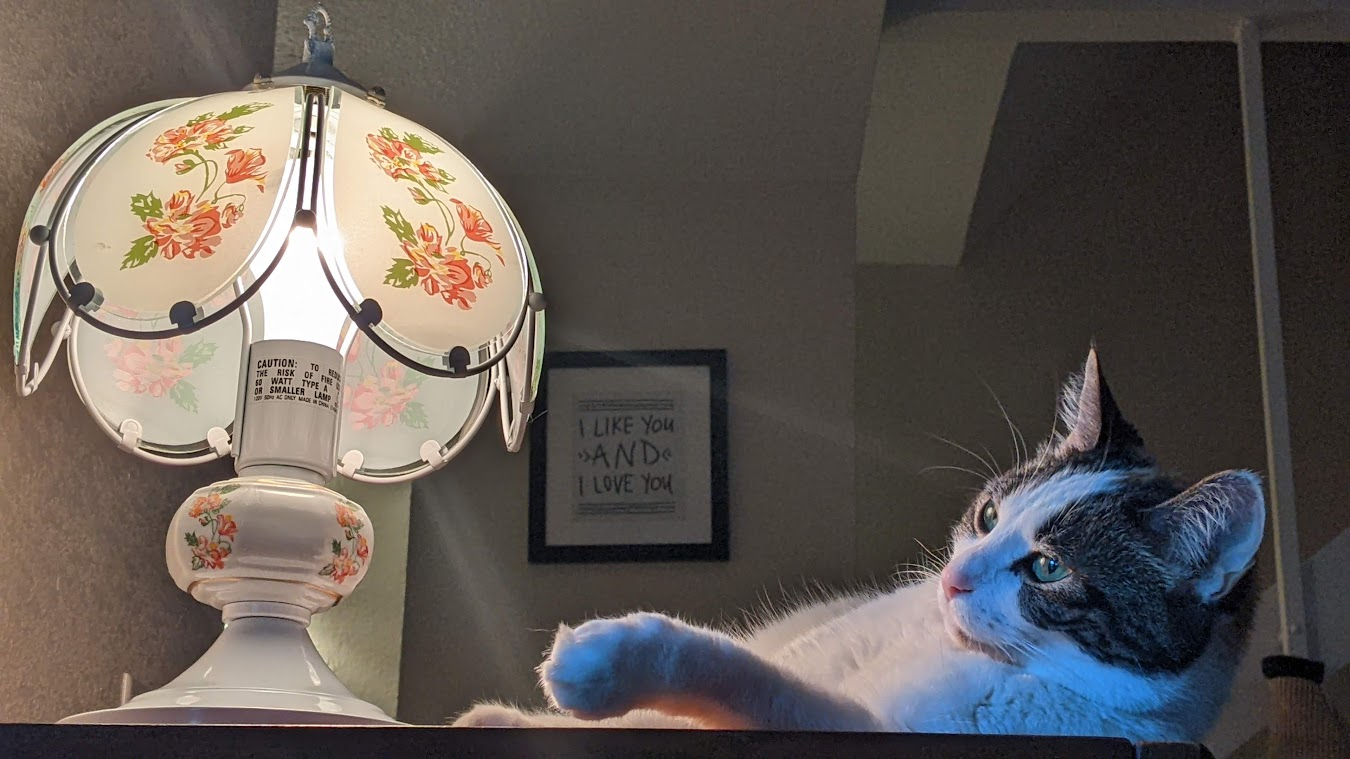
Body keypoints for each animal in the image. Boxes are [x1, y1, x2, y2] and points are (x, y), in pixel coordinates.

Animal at [453, 348, 1264, 742]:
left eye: (1048, 567)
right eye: (989, 515)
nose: (954, 579)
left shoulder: (855, 725)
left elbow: (738, 674)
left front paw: (608, 659)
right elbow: (666, 711)